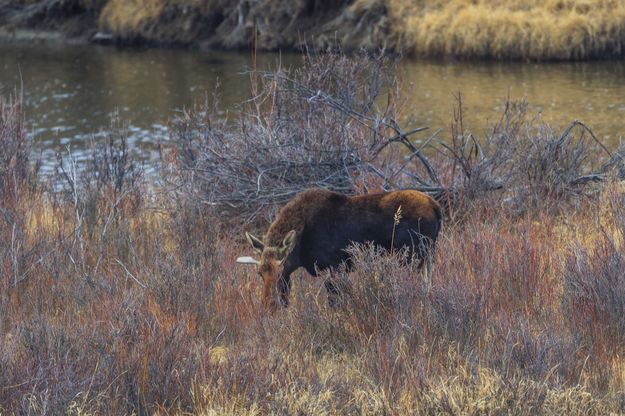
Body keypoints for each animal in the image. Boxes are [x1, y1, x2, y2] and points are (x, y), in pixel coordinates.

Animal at [236, 188, 442, 312]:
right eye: (260, 273)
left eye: (280, 272)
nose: (269, 306)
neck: (301, 249)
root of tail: (436, 206)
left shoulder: (335, 268)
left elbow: (335, 302)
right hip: (427, 258)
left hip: (411, 257)